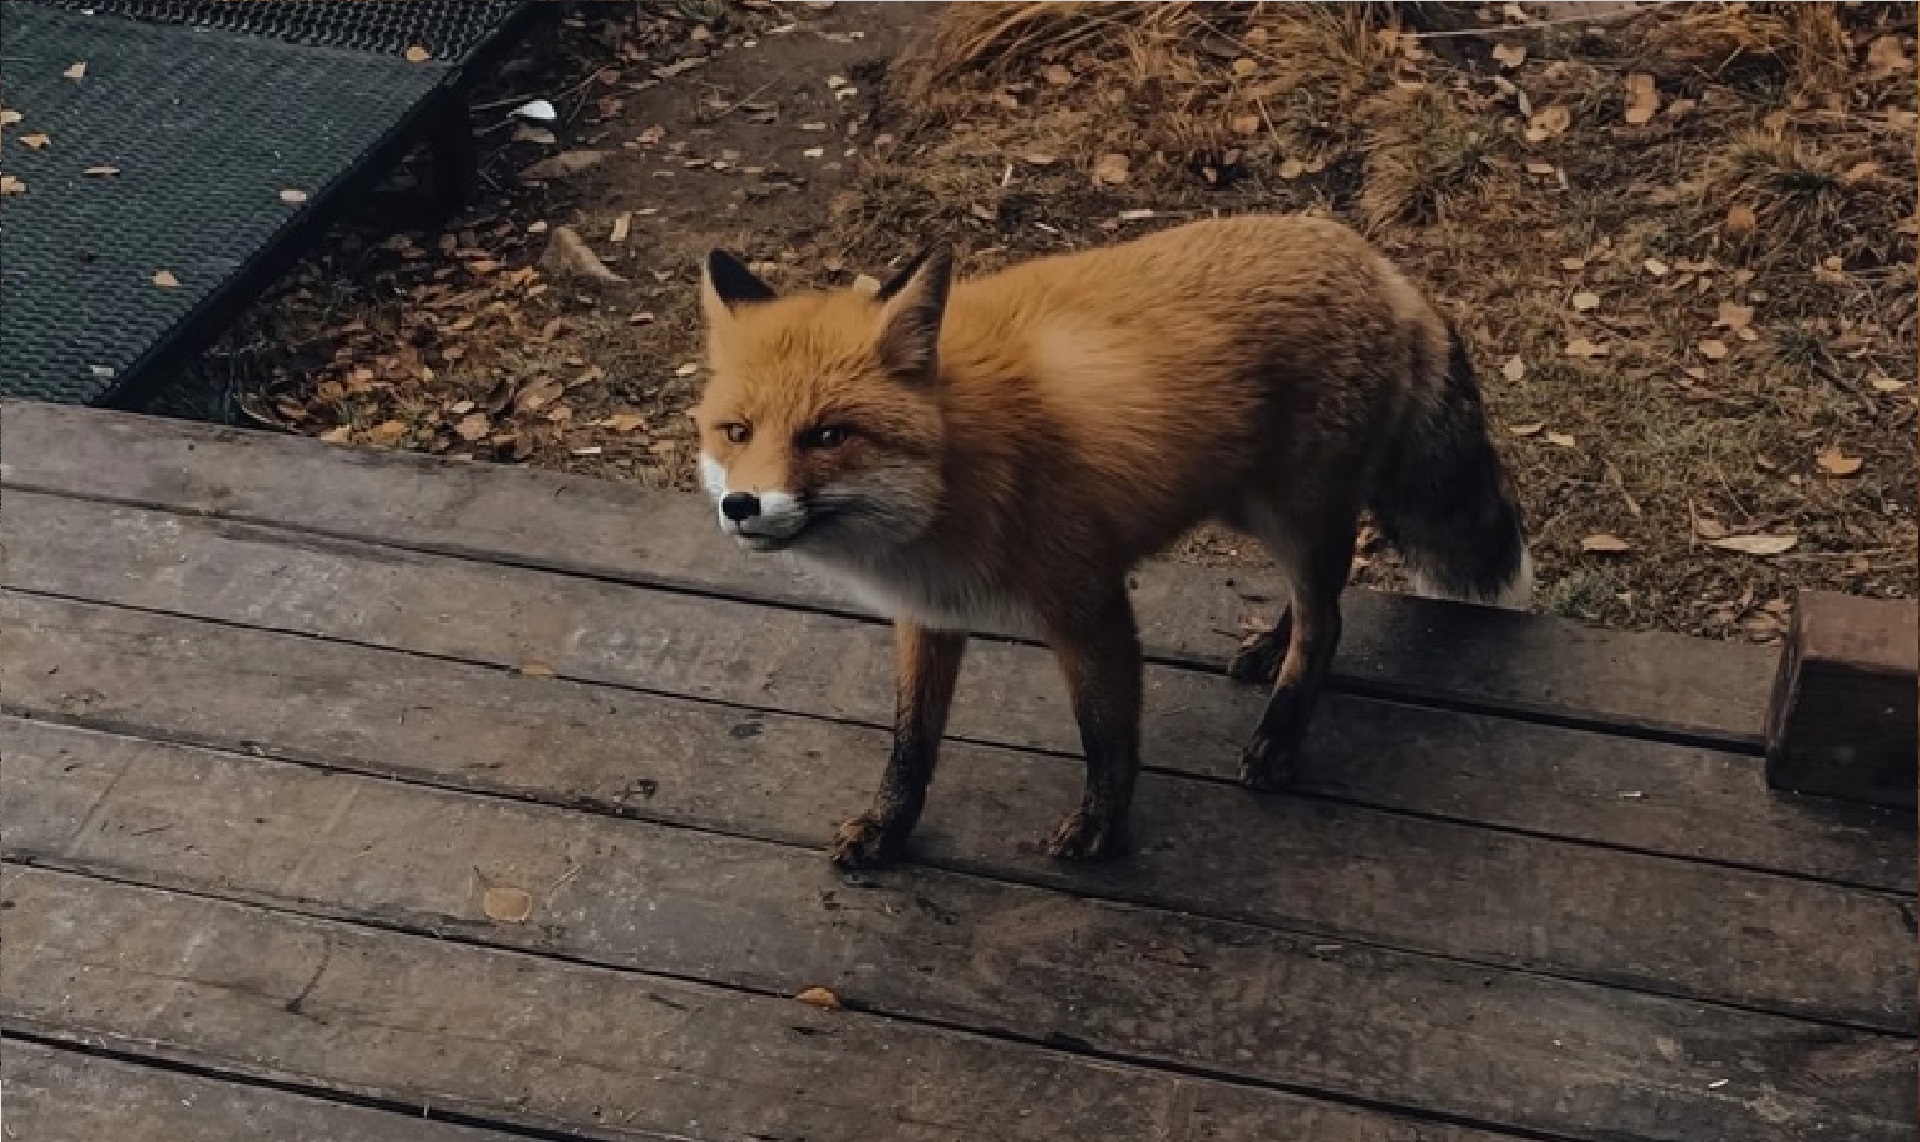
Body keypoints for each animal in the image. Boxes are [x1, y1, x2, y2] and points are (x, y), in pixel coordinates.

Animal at [691, 212, 1528, 867]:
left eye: (828, 436)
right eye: (737, 432)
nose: (741, 504)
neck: (958, 469)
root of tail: (1372, 257)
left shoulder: (1089, 604)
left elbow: (1108, 736)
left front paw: (1103, 829)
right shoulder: (929, 614)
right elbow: (910, 742)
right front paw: (888, 829)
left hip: (1291, 509)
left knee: (1328, 625)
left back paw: (1280, 734)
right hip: (1260, 510)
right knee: (1325, 601)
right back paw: (1271, 648)